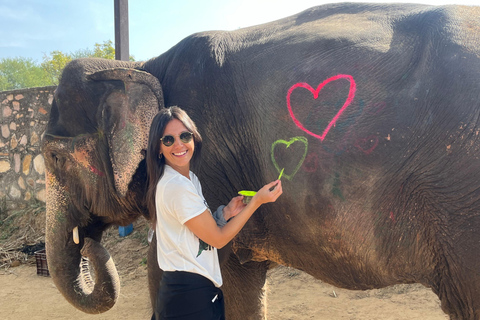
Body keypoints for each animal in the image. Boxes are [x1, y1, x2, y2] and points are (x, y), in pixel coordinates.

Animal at [42, 3, 480, 320]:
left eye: (53, 157)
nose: (89, 242)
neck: (142, 65)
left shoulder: (210, 158)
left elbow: (192, 268)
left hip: (459, 202)